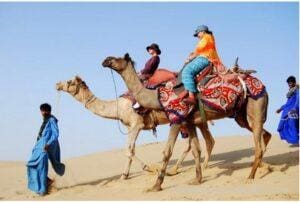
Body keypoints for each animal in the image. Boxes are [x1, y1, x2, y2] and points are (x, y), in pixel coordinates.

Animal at [55, 75, 216, 179]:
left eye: (69, 81)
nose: (57, 84)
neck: (118, 107)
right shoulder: (129, 127)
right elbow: (130, 149)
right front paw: (125, 175)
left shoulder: (136, 124)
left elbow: (128, 149)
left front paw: (148, 168)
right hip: (197, 119)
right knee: (207, 140)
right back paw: (184, 168)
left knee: (199, 142)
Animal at [102, 53, 274, 191]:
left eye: (117, 58)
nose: (105, 60)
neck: (156, 97)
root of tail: (263, 86)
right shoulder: (189, 122)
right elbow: (196, 150)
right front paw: (197, 180)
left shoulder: (176, 119)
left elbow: (167, 152)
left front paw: (156, 186)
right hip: (242, 116)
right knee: (264, 134)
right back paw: (266, 167)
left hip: (255, 105)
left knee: (257, 143)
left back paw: (250, 176)